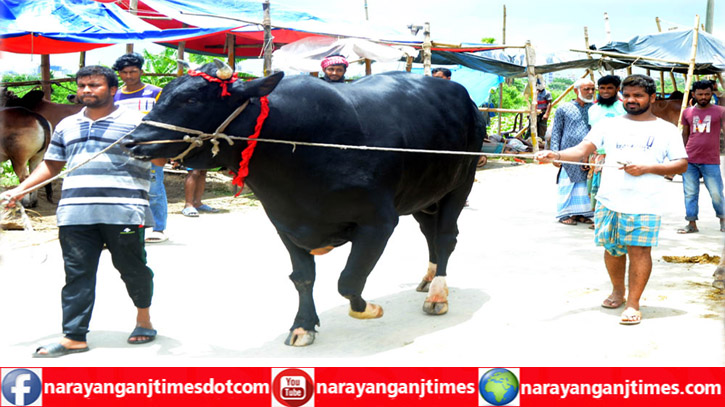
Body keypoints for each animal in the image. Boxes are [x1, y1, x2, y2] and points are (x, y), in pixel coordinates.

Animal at [127, 61, 484, 348]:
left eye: (192, 99)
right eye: (163, 94)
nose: (132, 141)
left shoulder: (379, 222)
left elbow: (349, 280)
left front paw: (369, 308)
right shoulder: (285, 223)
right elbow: (302, 277)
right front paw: (302, 327)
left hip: (460, 182)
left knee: (445, 237)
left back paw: (438, 294)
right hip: (425, 194)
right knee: (430, 234)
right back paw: (428, 279)